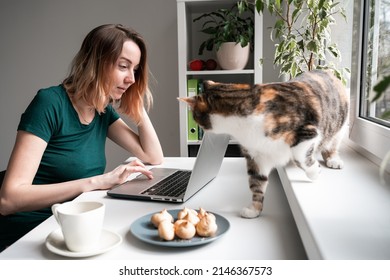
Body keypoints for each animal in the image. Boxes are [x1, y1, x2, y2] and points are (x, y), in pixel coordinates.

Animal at [181, 70, 348, 219]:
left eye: (195, 116)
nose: (200, 128)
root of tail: (328, 71)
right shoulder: (256, 155)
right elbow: (256, 182)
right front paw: (254, 209)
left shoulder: (307, 131)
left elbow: (300, 156)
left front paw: (315, 171)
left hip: (339, 124)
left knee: (332, 142)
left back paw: (333, 159)